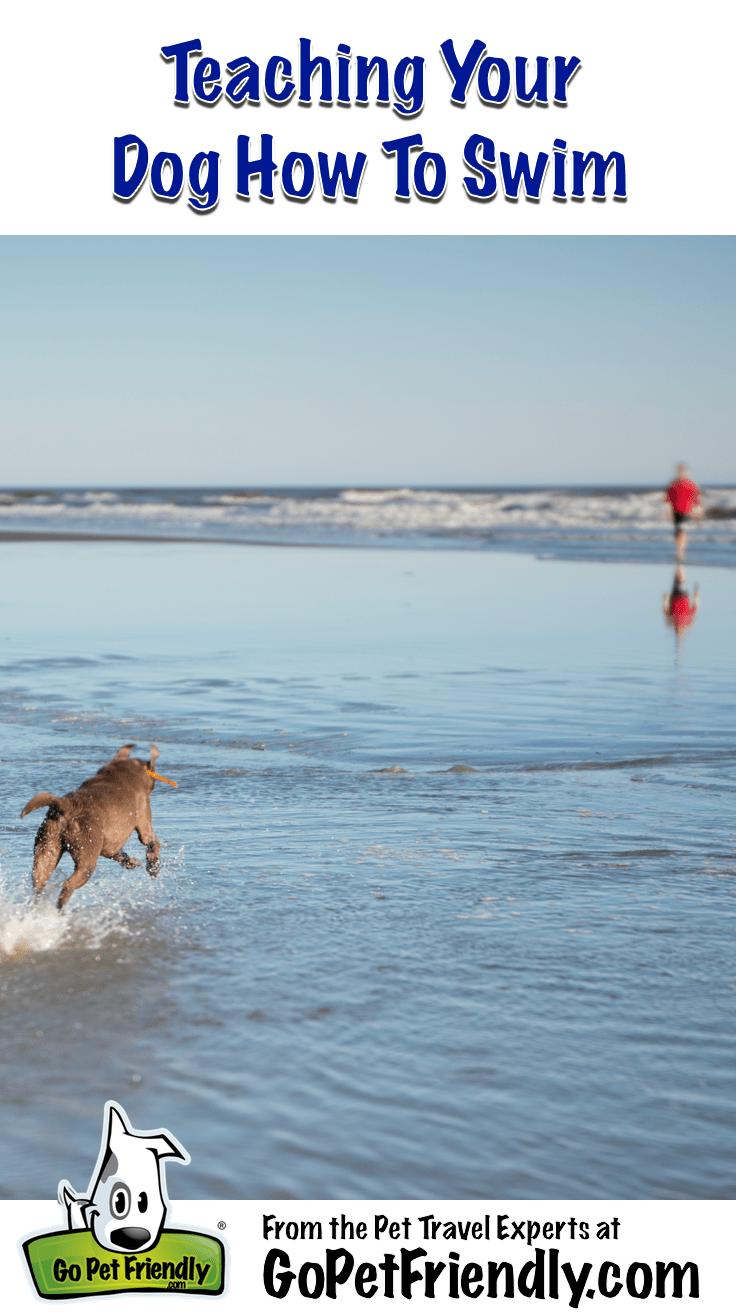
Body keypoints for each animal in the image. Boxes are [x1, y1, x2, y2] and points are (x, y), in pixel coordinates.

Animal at [20, 745, 162, 908]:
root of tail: (68, 806)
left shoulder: (109, 845)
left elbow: (119, 854)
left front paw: (132, 862)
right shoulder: (144, 824)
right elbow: (153, 842)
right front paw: (153, 866)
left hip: (47, 849)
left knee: (39, 883)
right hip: (87, 858)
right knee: (69, 885)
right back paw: (60, 909)